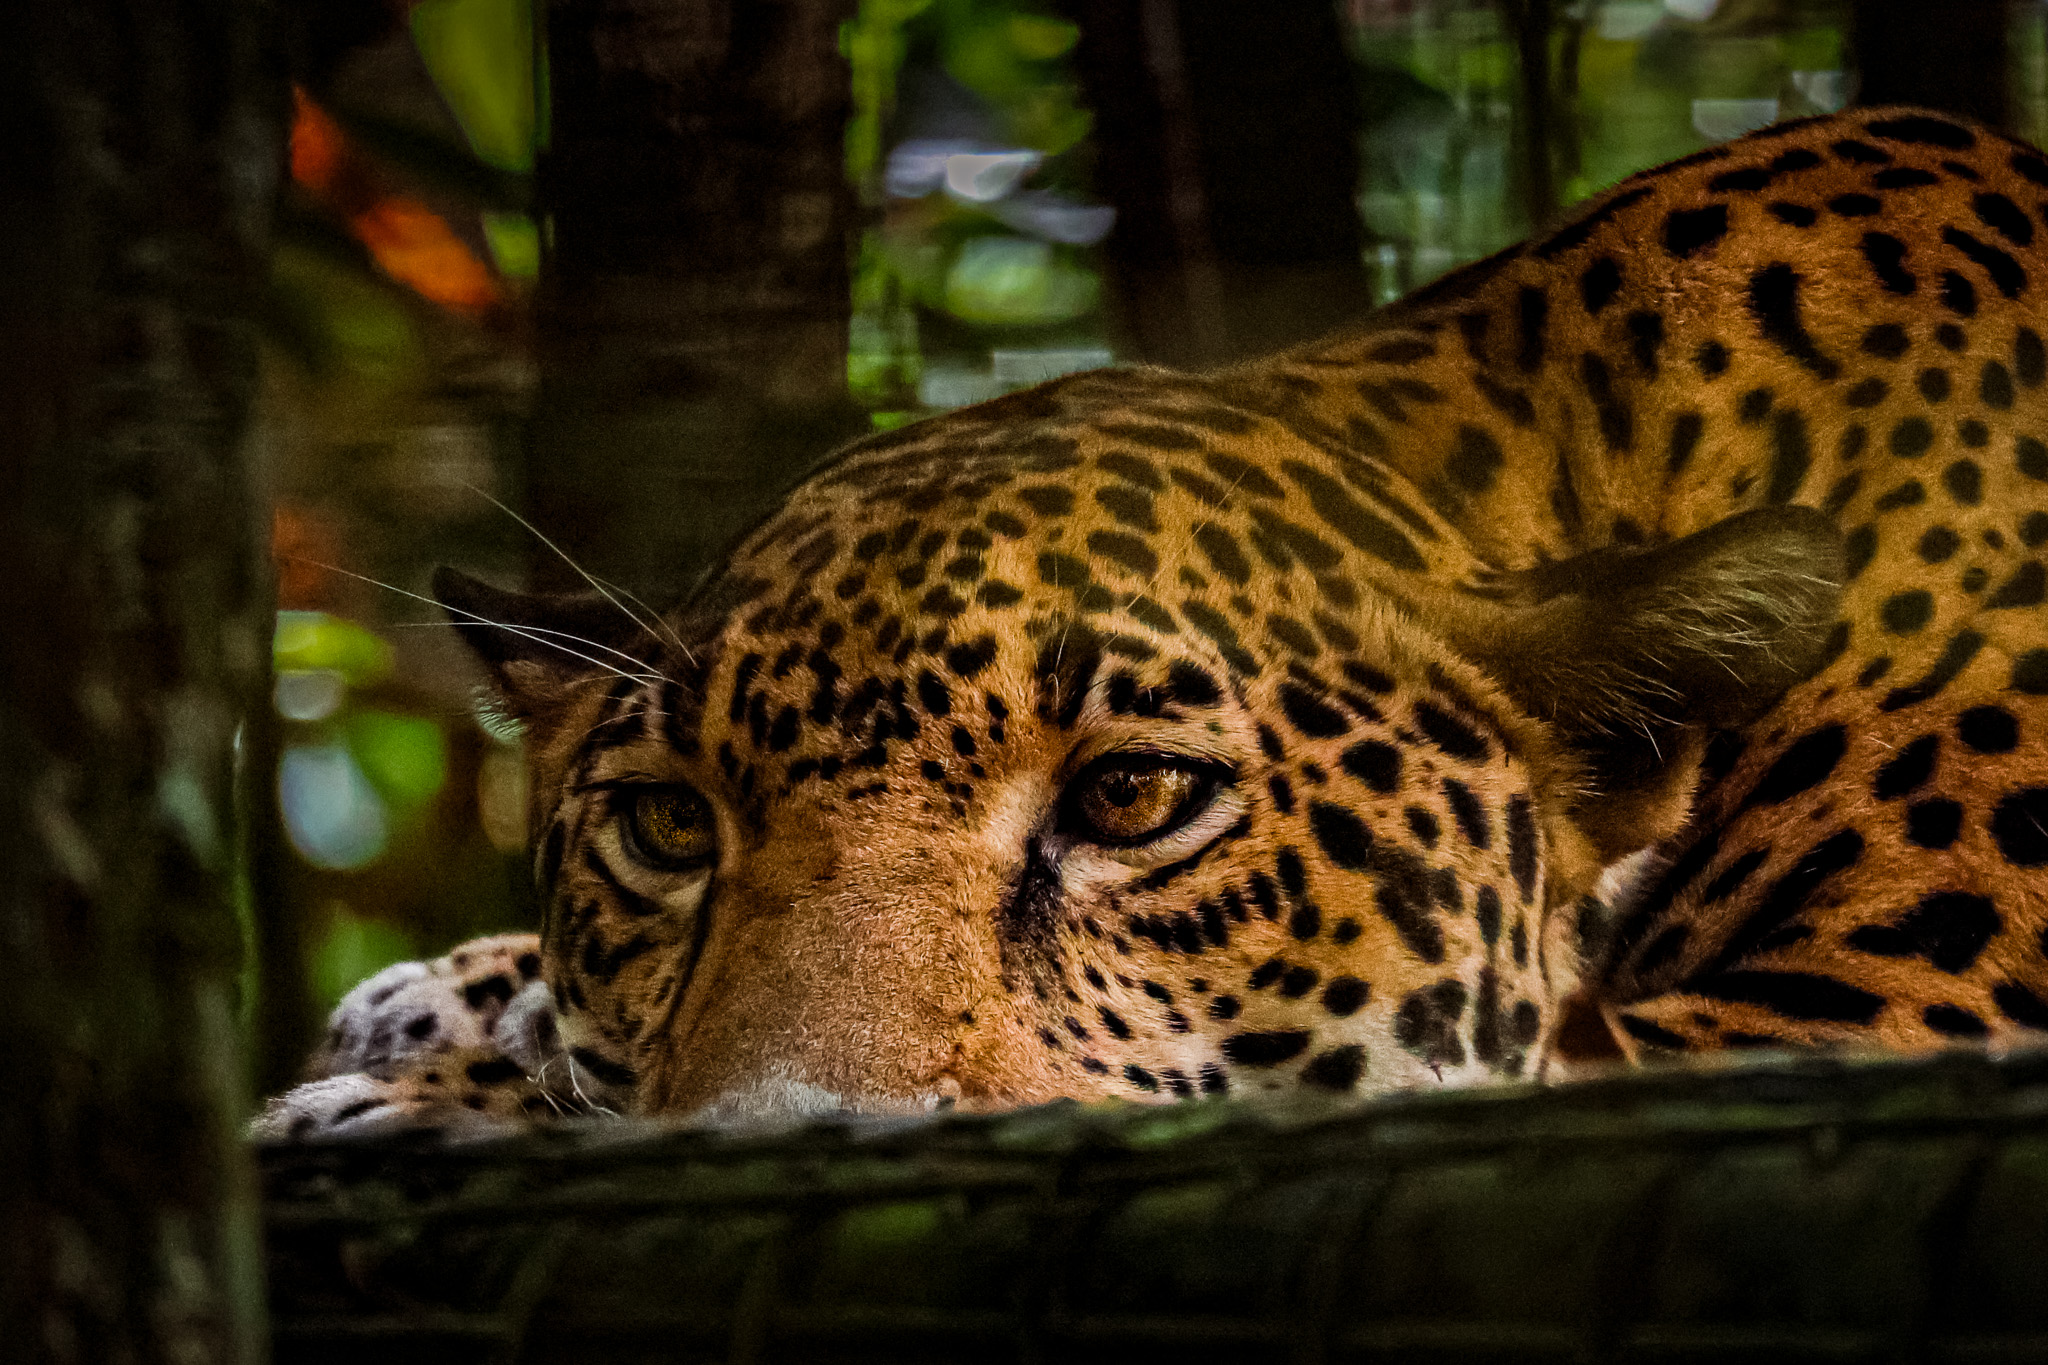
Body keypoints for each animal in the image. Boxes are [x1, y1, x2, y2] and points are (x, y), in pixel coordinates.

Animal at [256, 106, 2048, 1142]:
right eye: (669, 830)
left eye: (1131, 799)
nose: (779, 1137)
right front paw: (441, 1011)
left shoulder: (1899, 1007)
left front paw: (414, 1091)